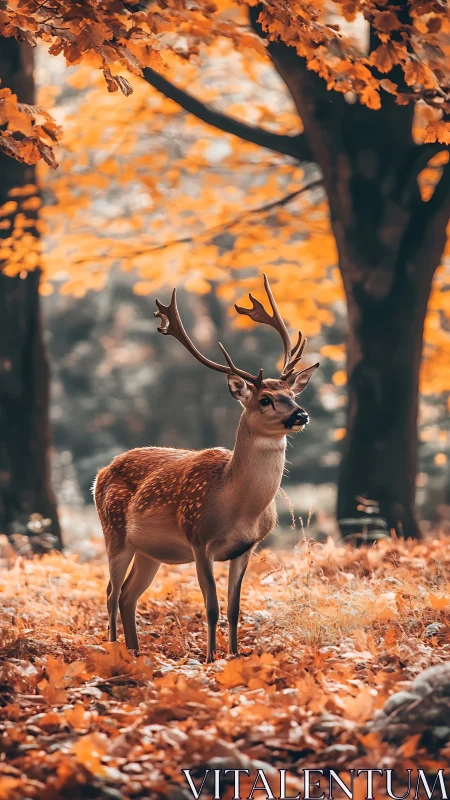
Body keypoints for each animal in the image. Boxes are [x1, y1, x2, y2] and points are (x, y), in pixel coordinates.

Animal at [93, 276, 319, 662]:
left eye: (293, 395)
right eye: (265, 399)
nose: (300, 414)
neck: (236, 505)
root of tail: (99, 474)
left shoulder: (247, 547)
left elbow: (234, 608)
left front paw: (235, 656)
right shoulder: (199, 539)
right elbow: (211, 607)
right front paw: (212, 659)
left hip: (148, 551)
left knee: (127, 595)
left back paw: (136, 652)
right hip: (114, 531)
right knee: (110, 592)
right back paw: (113, 650)